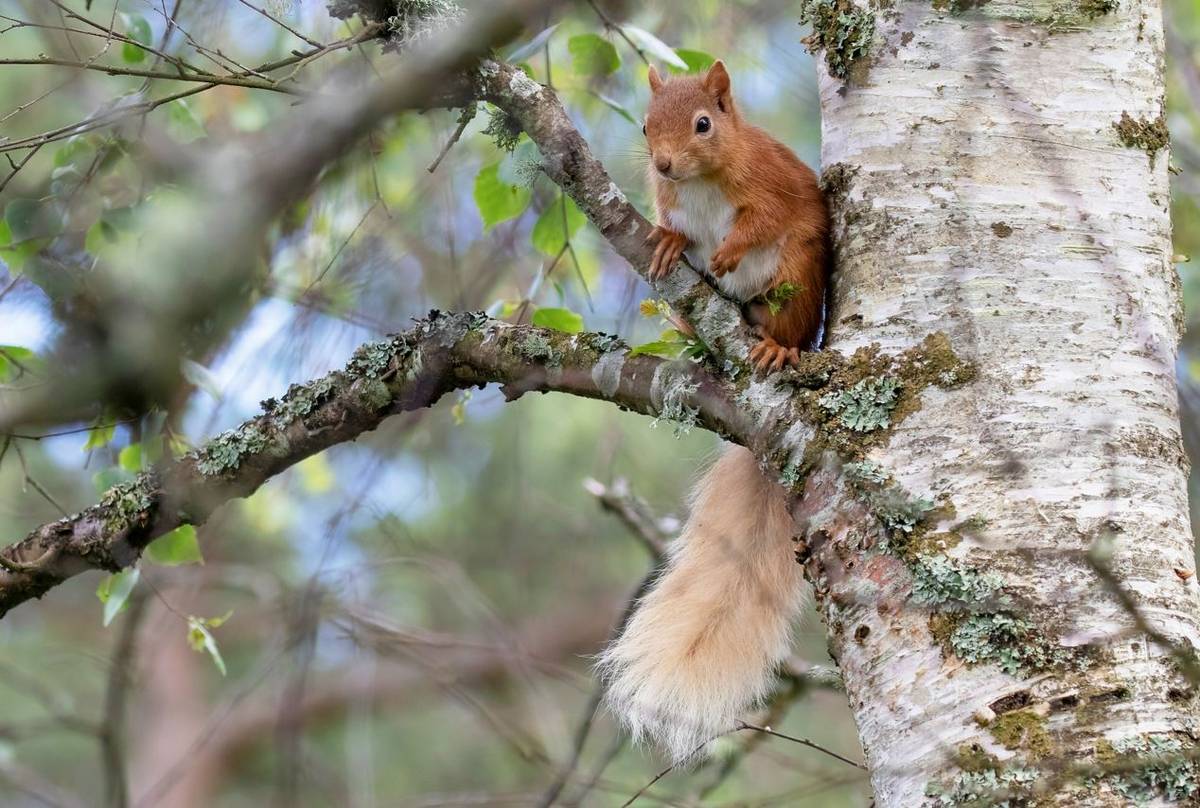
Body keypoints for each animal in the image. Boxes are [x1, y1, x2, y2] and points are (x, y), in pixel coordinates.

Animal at [597, 61, 830, 763]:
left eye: (704, 123)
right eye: (646, 126)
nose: (664, 165)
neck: (700, 183)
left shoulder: (772, 183)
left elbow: (763, 218)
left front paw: (728, 250)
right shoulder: (669, 201)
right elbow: (673, 228)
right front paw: (672, 241)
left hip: (797, 280)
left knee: (783, 314)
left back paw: (777, 347)